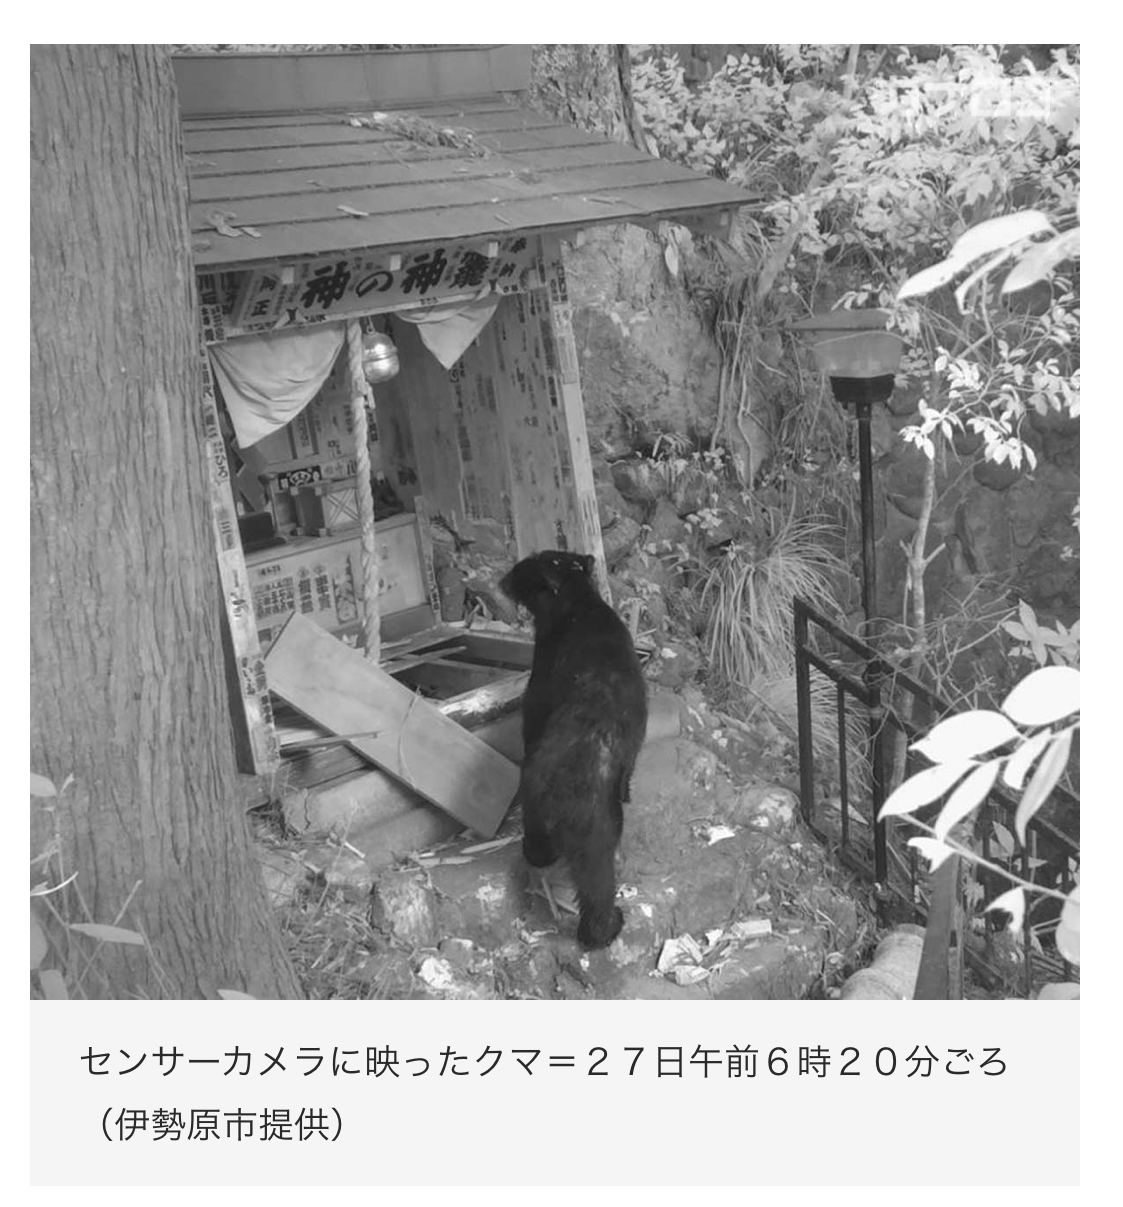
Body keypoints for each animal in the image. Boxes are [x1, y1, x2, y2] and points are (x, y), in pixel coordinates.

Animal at [500, 550, 648, 949]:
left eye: (520, 572)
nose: (503, 580)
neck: (580, 604)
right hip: (598, 837)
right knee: (596, 892)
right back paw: (606, 928)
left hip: (538, 810)